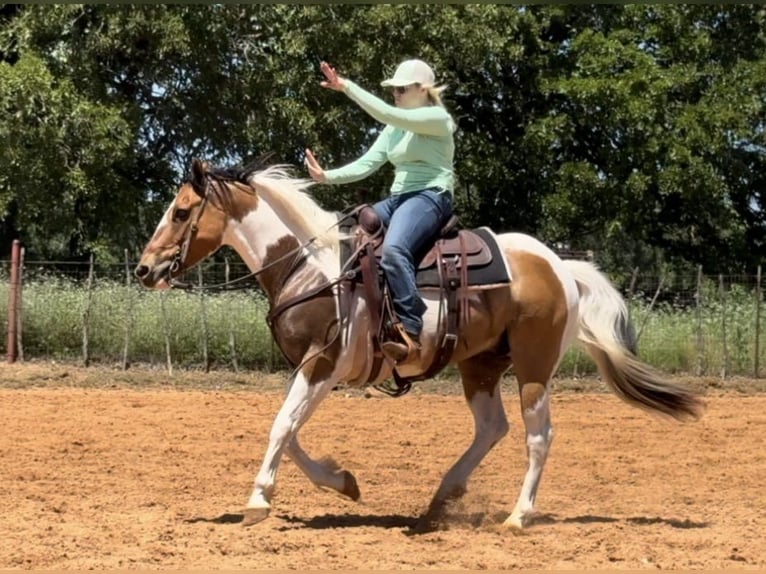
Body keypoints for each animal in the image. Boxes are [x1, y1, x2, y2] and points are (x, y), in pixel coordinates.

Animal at [135, 158, 704, 532]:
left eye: (182, 212)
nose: (145, 269)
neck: (312, 267)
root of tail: (560, 266)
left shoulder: (322, 364)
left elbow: (281, 426)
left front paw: (258, 501)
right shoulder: (313, 370)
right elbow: (289, 430)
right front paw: (343, 482)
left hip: (534, 367)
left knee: (538, 436)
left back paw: (517, 516)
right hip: (480, 364)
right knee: (492, 427)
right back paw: (442, 497)